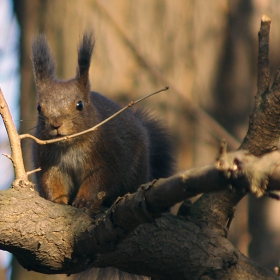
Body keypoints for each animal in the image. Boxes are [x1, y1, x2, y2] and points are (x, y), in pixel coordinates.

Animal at [31, 32, 174, 210]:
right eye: (39, 107)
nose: (56, 124)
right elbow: (51, 181)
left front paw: (84, 201)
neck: (68, 147)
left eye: (80, 104)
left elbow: (97, 182)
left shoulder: (104, 158)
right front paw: (56, 200)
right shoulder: (48, 161)